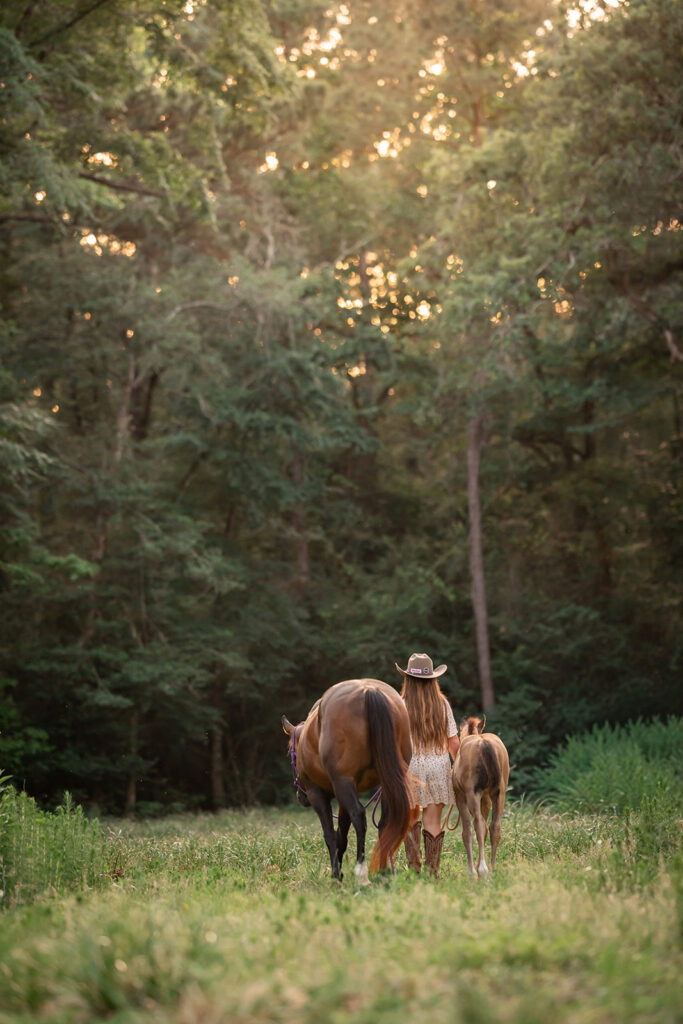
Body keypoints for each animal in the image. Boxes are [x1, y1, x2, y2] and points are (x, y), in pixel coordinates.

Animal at [282, 678, 414, 884]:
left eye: (290, 753)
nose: (300, 796)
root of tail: (369, 690)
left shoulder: (318, 793)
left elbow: (330, 834)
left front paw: (336, 875)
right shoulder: (343, 794)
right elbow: (341, 836)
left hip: (342, 783)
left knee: (359, 816)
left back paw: (361, 872)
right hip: (386, 783)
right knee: (384, 823)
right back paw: (383, 872)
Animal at [451, 716, 509, 878]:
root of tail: (484, 743)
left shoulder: (461, 797)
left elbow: (467, 832)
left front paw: (472, 870)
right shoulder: (486, 799)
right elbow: (485, 830)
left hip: (473, 795)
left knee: (478, 825)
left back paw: (482, 869)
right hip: (499, 794)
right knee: (494, 827)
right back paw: (492, 868)